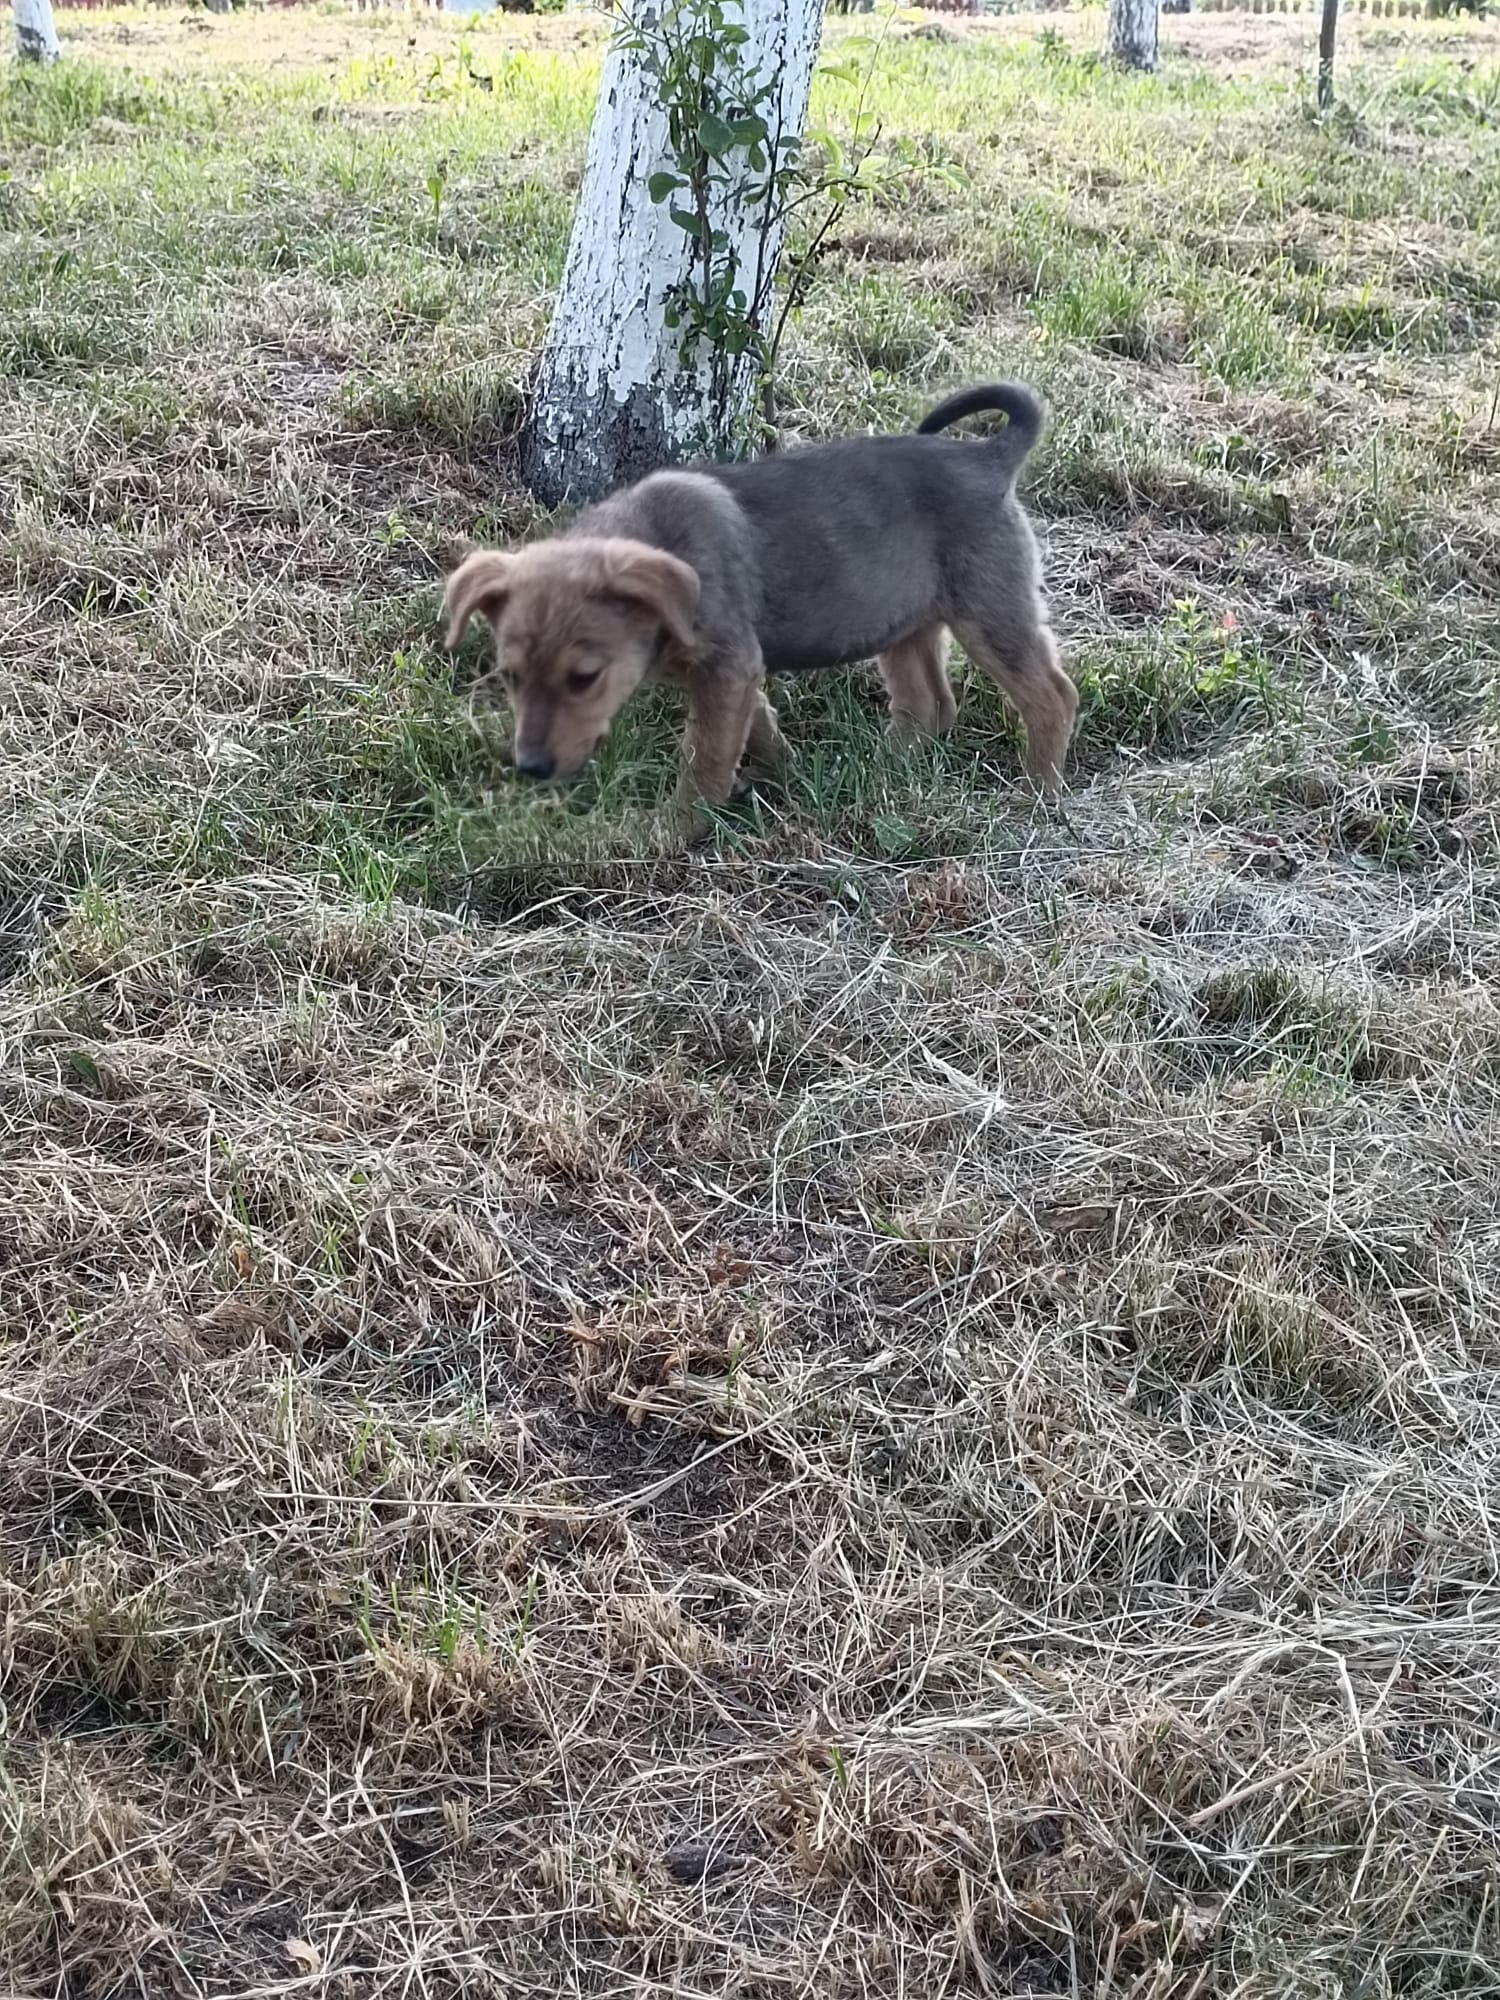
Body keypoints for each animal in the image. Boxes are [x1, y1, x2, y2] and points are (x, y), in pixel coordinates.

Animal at [445, 383, 1077, 820]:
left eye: (584, 678)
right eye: (510, 677)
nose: (531, 769)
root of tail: (989, 458)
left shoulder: (728, 668)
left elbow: (704, 760)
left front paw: (676, 831)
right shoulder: (734, 677)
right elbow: (756, 732)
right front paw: (786, 777)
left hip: (991, 611)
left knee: (1052, 695)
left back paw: (1039, 790)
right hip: (903, 617)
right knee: (931, 704)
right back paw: (883, 769)